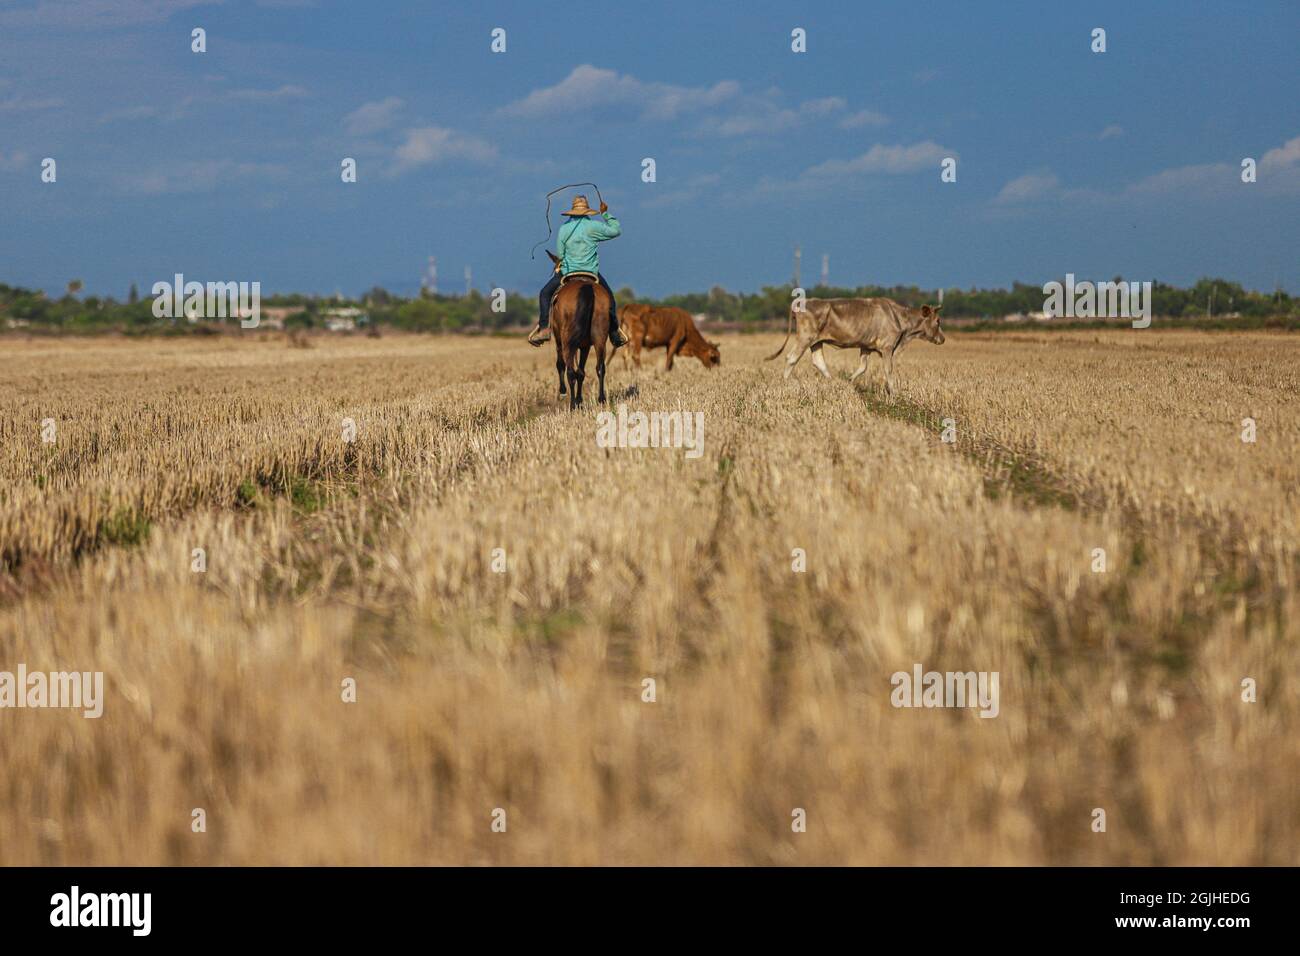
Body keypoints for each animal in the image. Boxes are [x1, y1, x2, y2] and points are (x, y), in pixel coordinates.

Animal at [546, 251, 611, 408]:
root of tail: (586, 287)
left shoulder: (560, 340)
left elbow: (561, 364)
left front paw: (564, 392)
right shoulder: (585, 346)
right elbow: (581, 372)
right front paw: (580, 400)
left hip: (567, 341)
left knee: (570, 371)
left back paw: (572, 404)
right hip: (600, 337)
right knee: (600, 367)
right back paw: (601, 399)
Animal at [759, 295, 946, 392]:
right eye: (938, 321)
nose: (943, 339)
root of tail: (803, 302)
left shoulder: (866, 346)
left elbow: (863, 367)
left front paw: (849, 381)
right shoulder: (887, 347)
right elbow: (888, 370)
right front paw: (893, 393)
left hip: (816, 341)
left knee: (818, 361)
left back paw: (833, 382)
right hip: (805, 337)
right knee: (791, 358)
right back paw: (784, 383)